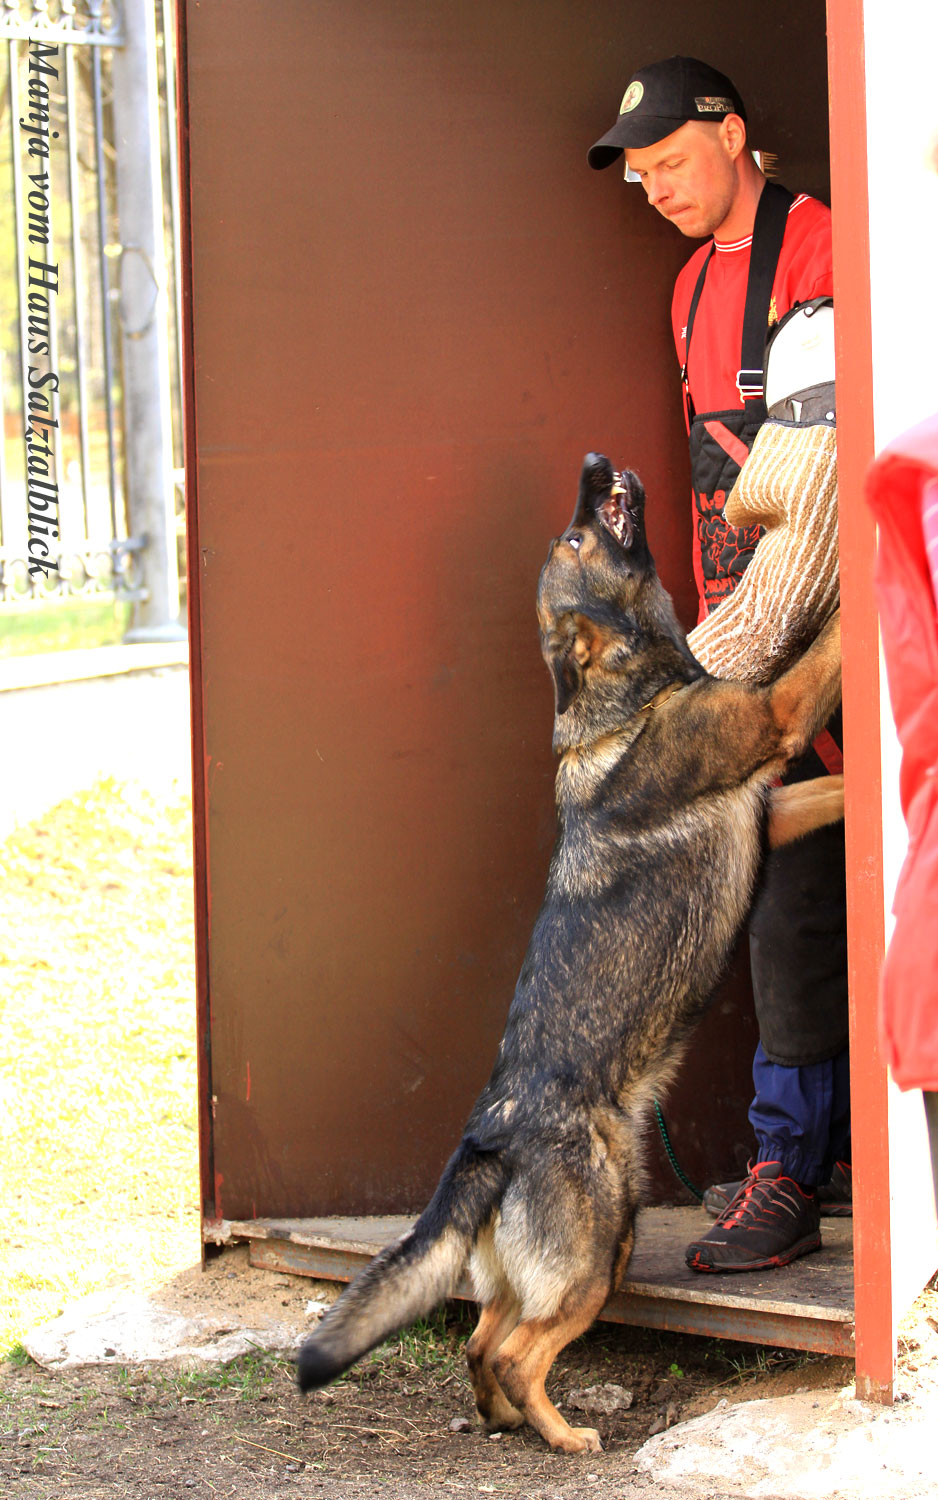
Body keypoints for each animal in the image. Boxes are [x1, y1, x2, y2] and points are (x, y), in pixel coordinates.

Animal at [296, 453, 843, 1454]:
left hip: (570, 1253)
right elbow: (823, 654)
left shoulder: (777, 807)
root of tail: (489, 1139)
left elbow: (840, 786)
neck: (631, 694)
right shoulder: (778, 718)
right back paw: (563, 1434)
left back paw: (505, 1419)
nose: (593, 463)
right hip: (601, 1245)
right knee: (515, 1348)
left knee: (482, 1338)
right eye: (579, 538)